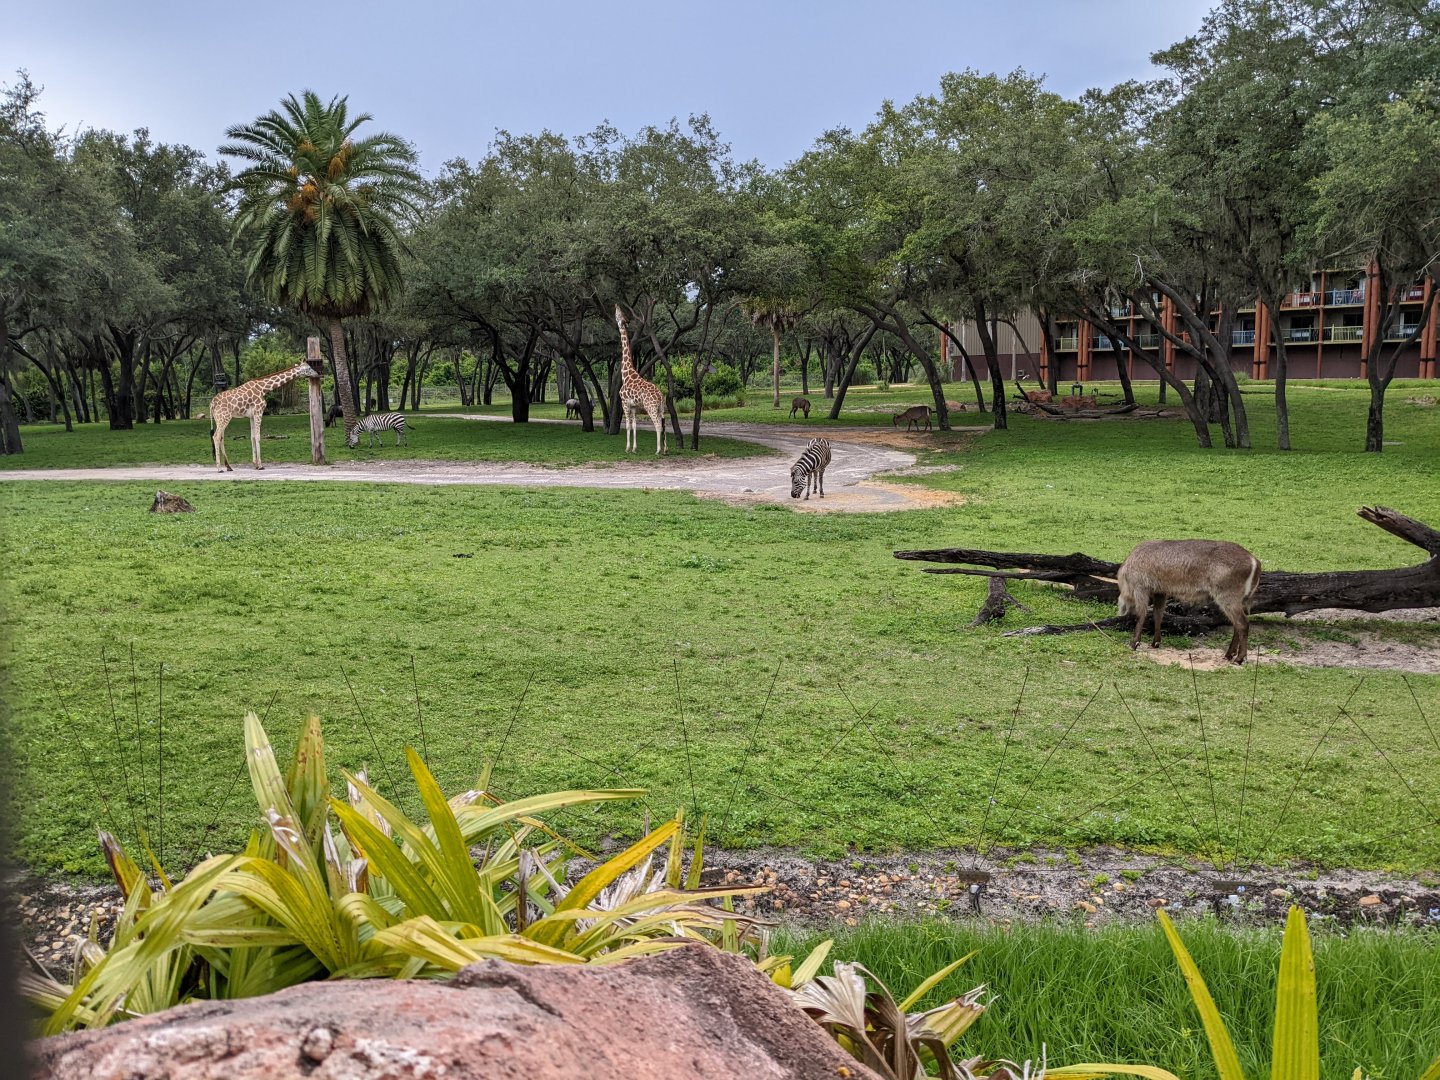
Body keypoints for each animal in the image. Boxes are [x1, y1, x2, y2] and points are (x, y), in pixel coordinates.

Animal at [614, 305, 667, 455]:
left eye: (618, 314)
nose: (616, 305)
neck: (626, 374)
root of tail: (660, 397)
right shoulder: (633, 407)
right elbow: (634, 426)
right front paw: (634, 448)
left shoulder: (625, 403)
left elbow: (627, 426)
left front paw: (627, 448)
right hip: (661, 409)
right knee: (664, 425)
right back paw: (665, 449)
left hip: (651, 408)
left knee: (658, 426)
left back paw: (658, 450)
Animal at [1116, 540, 1262, 664]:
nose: (1121, 611)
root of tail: (1254, 560)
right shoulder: (1160, 591)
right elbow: (1158, 615)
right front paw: (1156, 642)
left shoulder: (1140, 587)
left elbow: (1141, 615)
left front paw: (1134, 643)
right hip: (1239, 600)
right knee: (1237, 625)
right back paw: (1229, 655)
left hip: (1227, 597)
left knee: (1242, 624)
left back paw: (1239, 658)